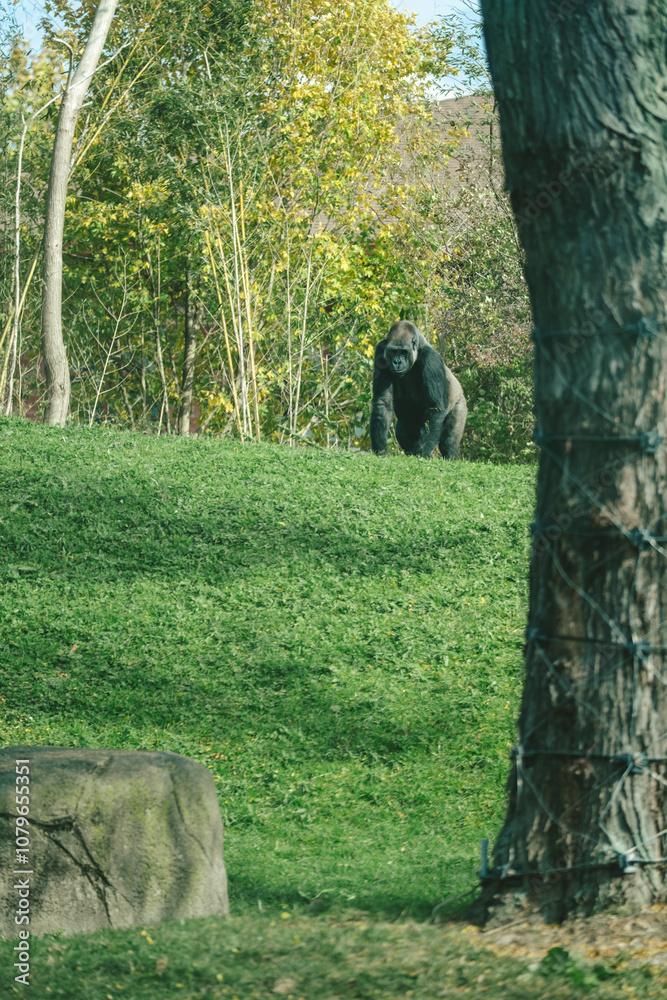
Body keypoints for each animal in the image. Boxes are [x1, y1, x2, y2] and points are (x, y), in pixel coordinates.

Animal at [370, 320, 467, 459]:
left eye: (403, 352)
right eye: (393, 351)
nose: (397, 362)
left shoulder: (431, 360)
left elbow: (435, 407)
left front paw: (421, 452)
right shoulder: (381, 350)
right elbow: (383, 401)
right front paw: (381, 450)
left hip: (459, 403)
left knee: (448, 442)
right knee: (402, 433)